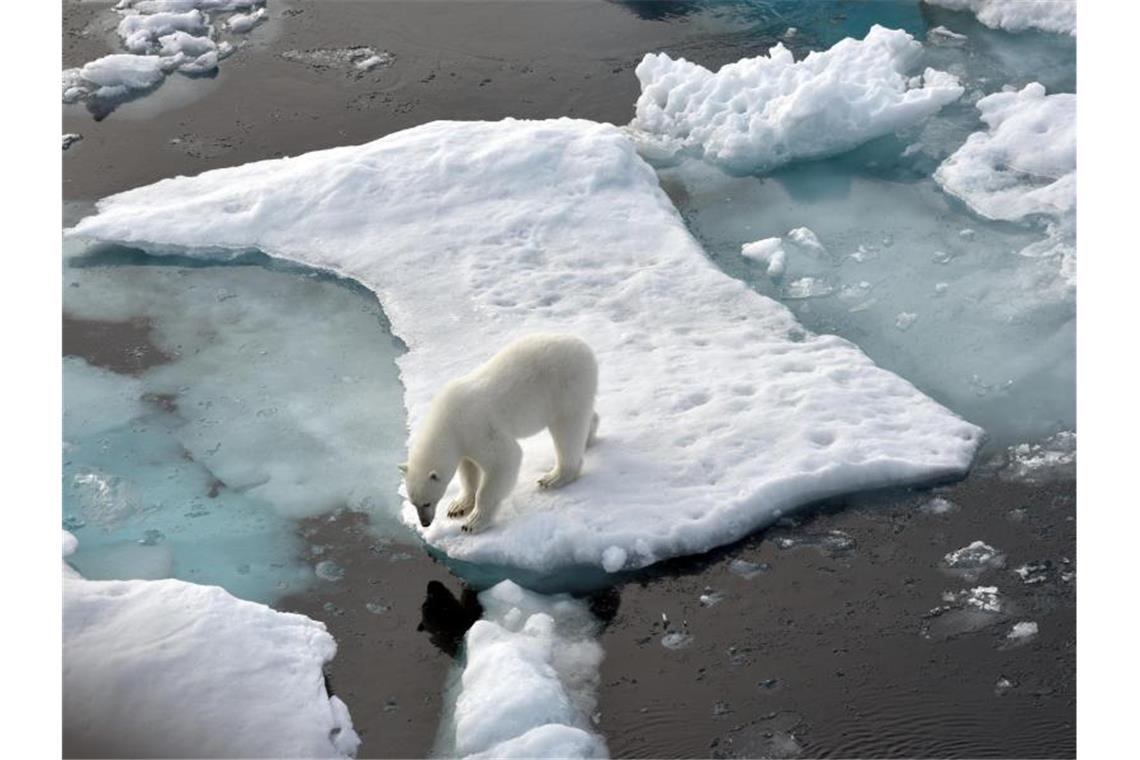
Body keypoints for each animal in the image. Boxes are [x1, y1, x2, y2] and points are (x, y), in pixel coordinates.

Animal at [399, 332, 601, 535]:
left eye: (427, 502)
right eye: (413, 503)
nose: (425, 523)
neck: (448, 419)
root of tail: (583, 346)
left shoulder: (477, 427)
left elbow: (504, 459)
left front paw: (473, 522)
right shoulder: (463, 440)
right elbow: (468, 469)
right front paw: (458, 507)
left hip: (566, 384)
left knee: (567, 428)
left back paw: (554, 477)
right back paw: (589, 436)